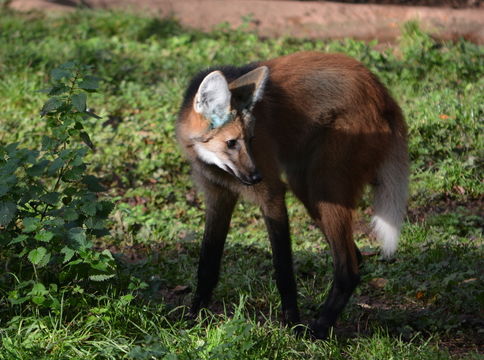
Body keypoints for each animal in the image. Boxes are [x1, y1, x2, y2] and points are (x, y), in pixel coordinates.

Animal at [176, 52, 406, 338]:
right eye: (231, 143)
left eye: (250, 139)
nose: (256, 177)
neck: (216, 166)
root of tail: (383, 93)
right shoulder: (218, 196)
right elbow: (207, 263)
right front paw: (194, 317)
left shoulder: (272, 195)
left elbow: (283, 268)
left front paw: (292, 324)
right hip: (308, 187)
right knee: (357, 257)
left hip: (323, 185)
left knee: (348, 270)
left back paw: (317, 330)